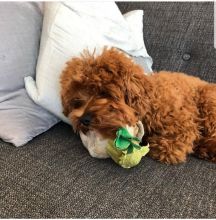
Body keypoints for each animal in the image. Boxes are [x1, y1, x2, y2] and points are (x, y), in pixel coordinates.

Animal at [60, 48, 216, 165]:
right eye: (78, 101)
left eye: (103, 92)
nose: (84, 119)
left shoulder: (182, 119)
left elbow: (180, 137)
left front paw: (162, 148)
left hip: (208, 101)